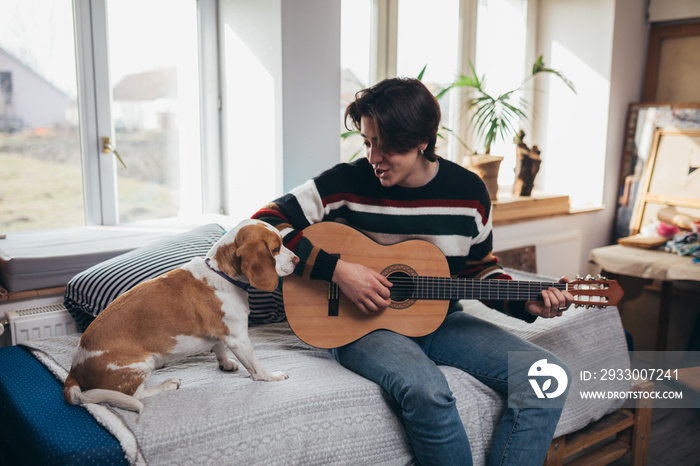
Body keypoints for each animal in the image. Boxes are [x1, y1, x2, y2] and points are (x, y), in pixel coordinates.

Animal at [62, 220, 298, 414]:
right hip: (141, 364)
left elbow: (218, 347)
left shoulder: (223, 335)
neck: (221, 274)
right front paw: (271, 377)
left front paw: (224, 363)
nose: (297, 259)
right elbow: (256, 367)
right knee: (136, 395)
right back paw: (168, 384)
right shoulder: (238, 338)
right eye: (275, 248)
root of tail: (74, 370)